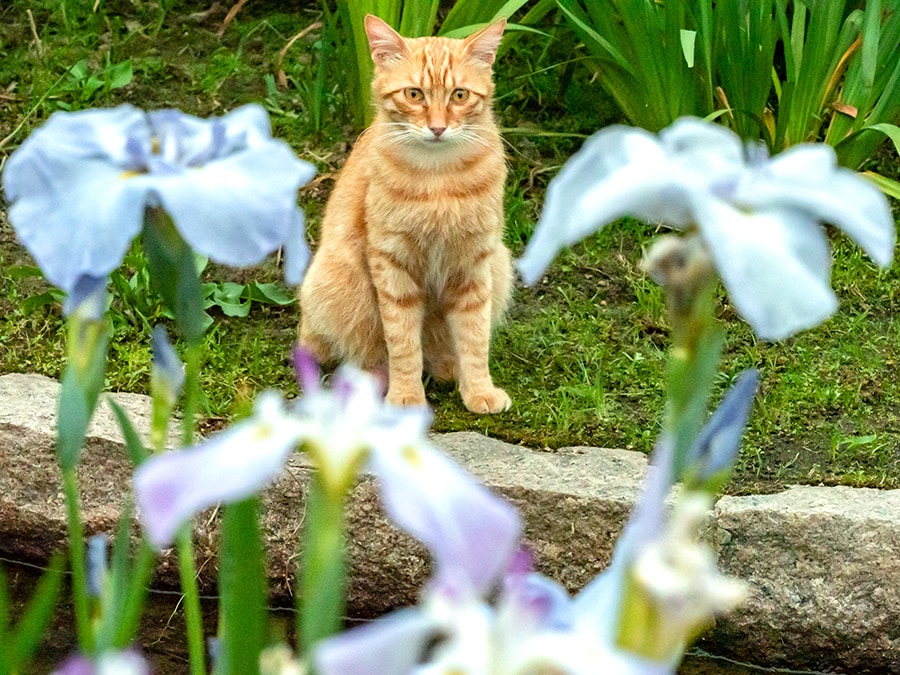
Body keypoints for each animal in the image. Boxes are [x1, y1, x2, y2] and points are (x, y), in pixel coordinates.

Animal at [298, 14, 510, 412]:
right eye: (414, 94)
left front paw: (479, 390)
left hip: (501, 264)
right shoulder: (392, 265)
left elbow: (475, 337)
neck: (439, 179)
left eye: (459, 95)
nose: (438, 127)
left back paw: (448, 367)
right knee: (361, 353)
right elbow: (402, 342)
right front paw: (407, 396)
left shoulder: (474, 264)